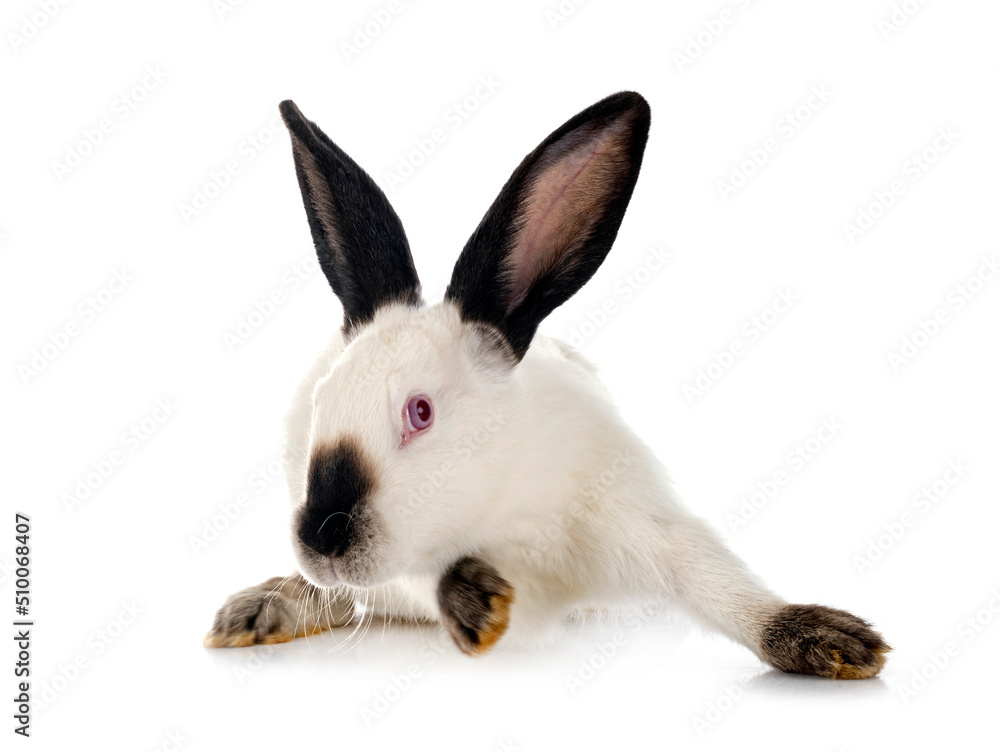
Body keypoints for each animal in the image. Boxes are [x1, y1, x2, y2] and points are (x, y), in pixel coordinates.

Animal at [205, 92, 889, 678]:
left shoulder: (634, 517)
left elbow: (714, 580)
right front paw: (480, 607)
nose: (321, 540)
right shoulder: (405, 567)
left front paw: (831, 643)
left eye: (420, 412)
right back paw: (254, 612)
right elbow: (420, 579)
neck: (503, 510)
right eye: (322, 402)